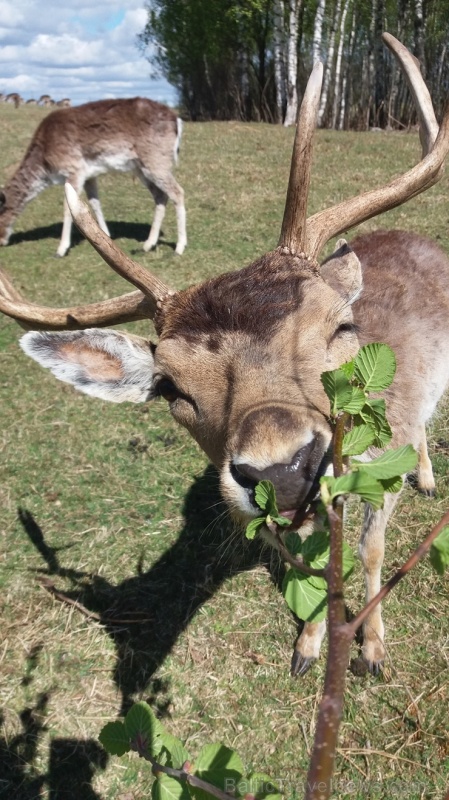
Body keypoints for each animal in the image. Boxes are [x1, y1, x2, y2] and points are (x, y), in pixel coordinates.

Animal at [0, 95, 186, 256]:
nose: (2, 242)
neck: (46, 165)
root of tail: (176, 119)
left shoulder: (74, 169)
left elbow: (68, 207)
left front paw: (61, 250)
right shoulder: (89, 175)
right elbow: (95, 202)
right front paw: (106, 235)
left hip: (156, 160)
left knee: (177, 192)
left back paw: (179, 247)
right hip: (141, 168)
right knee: (160, 195)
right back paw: (147, 245)